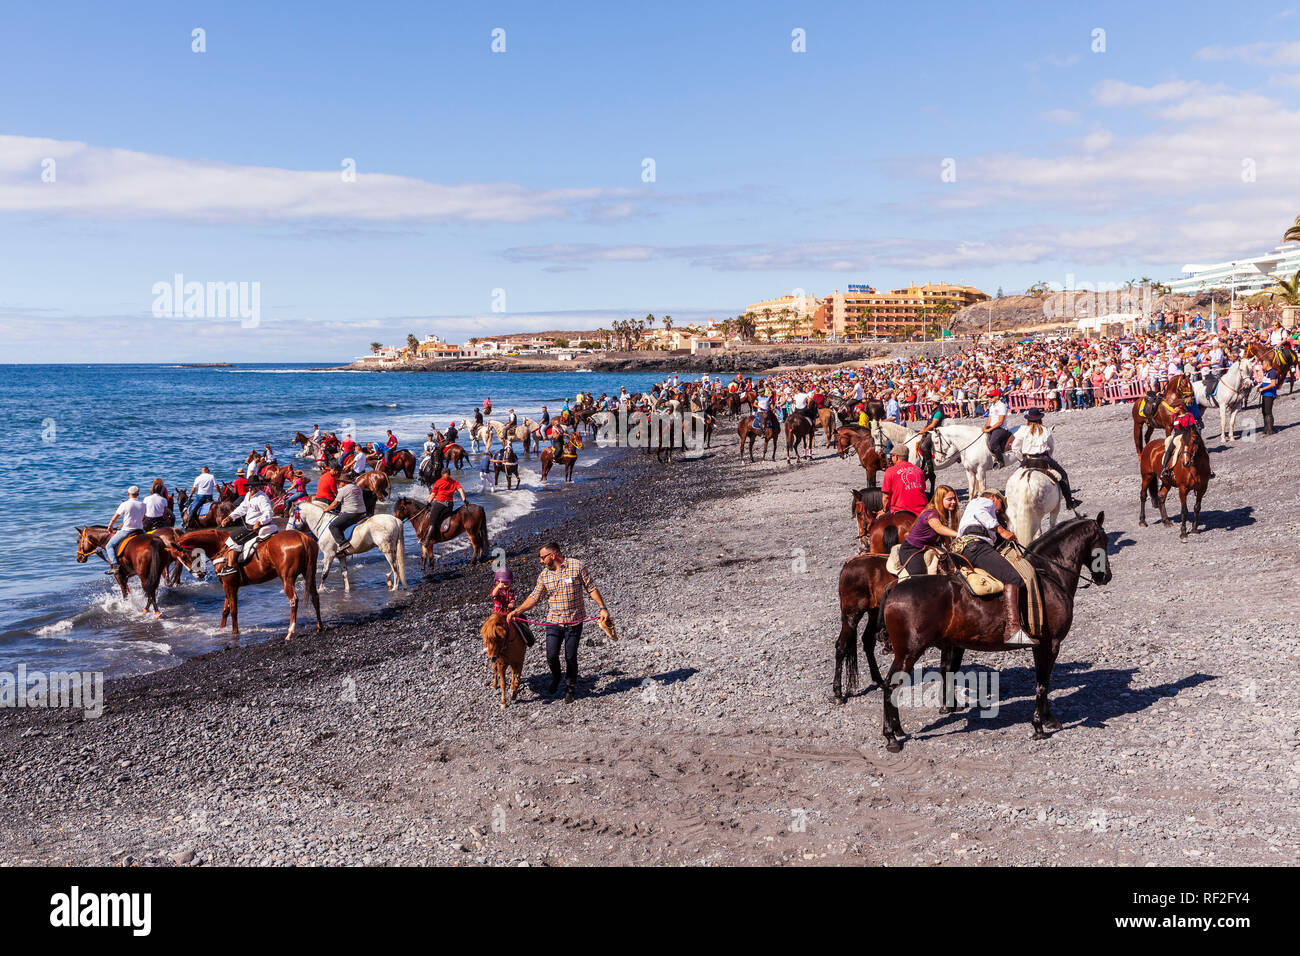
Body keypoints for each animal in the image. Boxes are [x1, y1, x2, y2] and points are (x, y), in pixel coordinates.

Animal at [878, 512, 1112, 749]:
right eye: (1104, 540)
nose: (1106, 576)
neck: (1050, 575)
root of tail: (894, 589)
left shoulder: (1040, 645)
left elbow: (1043, 682)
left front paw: (1048, 719)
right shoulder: (1050, 644)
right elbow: (1042, 683)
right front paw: (1039, 725)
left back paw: (897, 730)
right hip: (909, 652)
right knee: (890, 685)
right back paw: (891, 737)